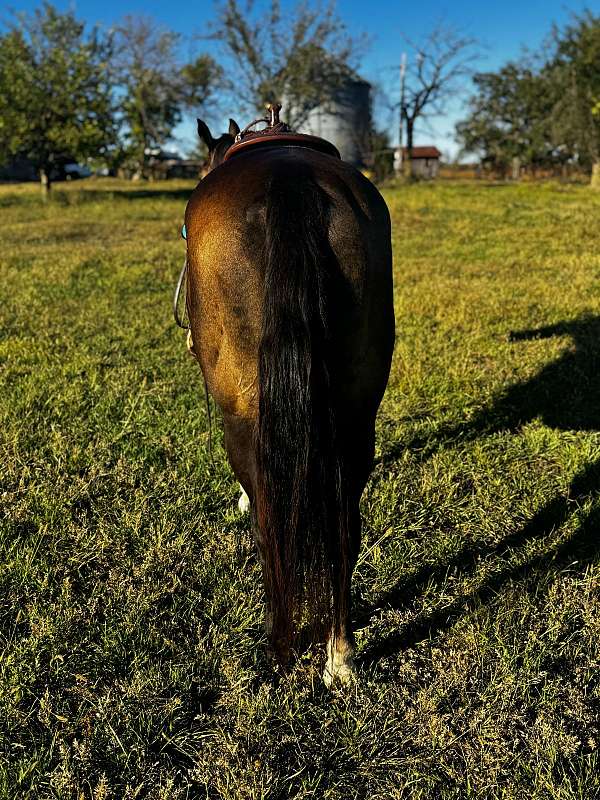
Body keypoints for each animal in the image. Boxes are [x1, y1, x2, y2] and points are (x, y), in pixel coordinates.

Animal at [185, 114, 396, 688]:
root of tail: (290, 184)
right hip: (355, 413)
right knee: (345, 528)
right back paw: (339, 654)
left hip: (242, 413)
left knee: (269, 522)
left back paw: (281, 643)